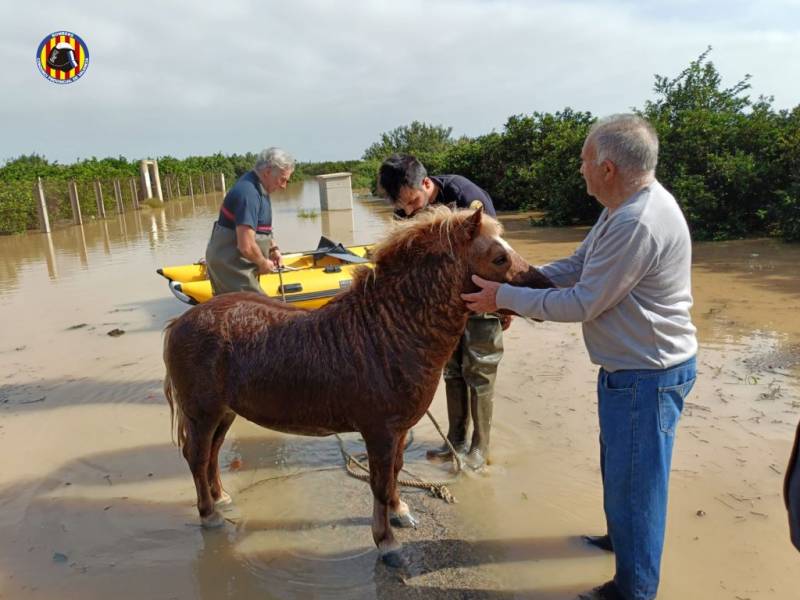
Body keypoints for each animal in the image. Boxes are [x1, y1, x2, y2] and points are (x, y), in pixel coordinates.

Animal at [161, 206, 552, 564]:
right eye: (499, 257)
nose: (545, 285)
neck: (388, 330)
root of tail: (180, 322)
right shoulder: (378, 432)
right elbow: (378, 482)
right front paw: (387, 543)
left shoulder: (397, 432)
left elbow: (394, 473)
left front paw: (400, 512)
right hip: (202, 414)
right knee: (197, 456)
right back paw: (210, 515)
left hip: (224, 414)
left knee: (212, 454)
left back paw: (221, 498)